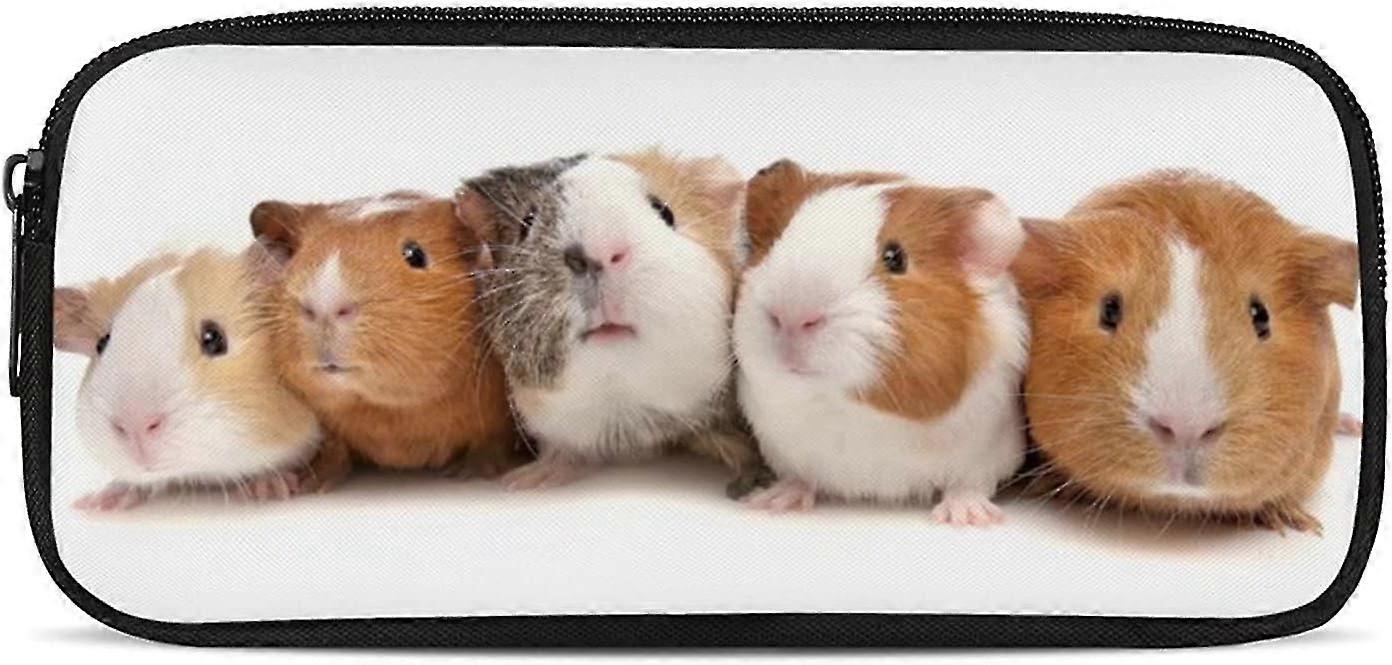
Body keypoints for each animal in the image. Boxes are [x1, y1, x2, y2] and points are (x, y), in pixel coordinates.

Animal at [249, 192, 517, 488]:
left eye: (415, 255)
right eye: (297, 255)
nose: (323, 305)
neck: (386, 409)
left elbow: (490, 442)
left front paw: (466, 473)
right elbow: (334, 450)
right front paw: (309, 484)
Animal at [732, 160, 1029, 525]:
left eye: (895, 257)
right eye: (776, 240)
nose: (791, 315)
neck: (849, 409)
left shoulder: (989, 451)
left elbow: (968, 485)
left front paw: (968, 518)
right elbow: (798, 477)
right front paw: (770, 503)